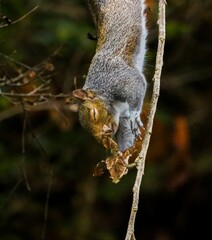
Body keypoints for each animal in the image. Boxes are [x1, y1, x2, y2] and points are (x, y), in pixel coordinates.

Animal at [69, 0, 147, 153]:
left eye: (94, 113)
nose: (104, 136)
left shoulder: (116, 78)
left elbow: (135, 85)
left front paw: (134, 115)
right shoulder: (122, 117)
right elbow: (126, 135)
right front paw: (121, 153)